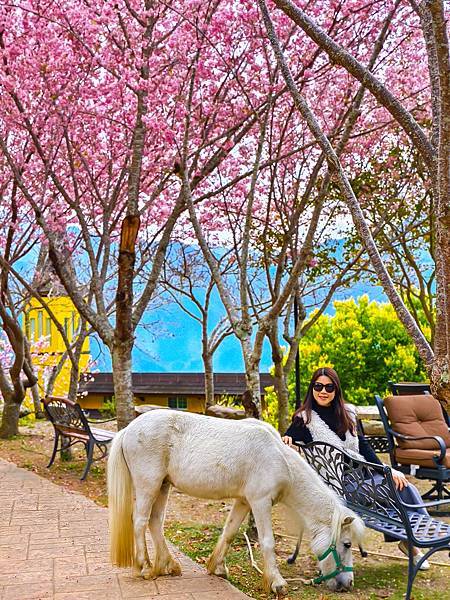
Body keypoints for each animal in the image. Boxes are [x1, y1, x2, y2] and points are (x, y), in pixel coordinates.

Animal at [108, 410, 366, 592]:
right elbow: (267, 542)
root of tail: (128, 429)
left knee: (155, 522)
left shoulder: (244, 502)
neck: (278, 458)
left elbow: (230, 532)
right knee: (140, 521)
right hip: (148, 486)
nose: (348, 583)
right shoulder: (260, 502)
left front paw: (218, 567)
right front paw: (277, 583)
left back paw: (167, 565)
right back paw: (144, 567)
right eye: (347, 544)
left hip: (163, 486)